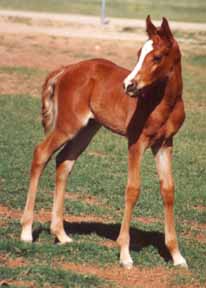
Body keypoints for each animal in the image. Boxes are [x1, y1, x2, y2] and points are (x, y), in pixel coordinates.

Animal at [21, 15, 188, 268]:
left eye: (157, 57)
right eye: (138, 53)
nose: (129, 85)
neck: (164, 103)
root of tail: (66, 69)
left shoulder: (164, 144)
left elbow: (168, 190)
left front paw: (177, 256)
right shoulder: (136, 142)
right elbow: (133, 189)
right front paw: (125, 254)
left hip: (88, 128)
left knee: (64, 161)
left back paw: (61, 234)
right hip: (68, 125)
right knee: (41, 153)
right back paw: (26, 232)